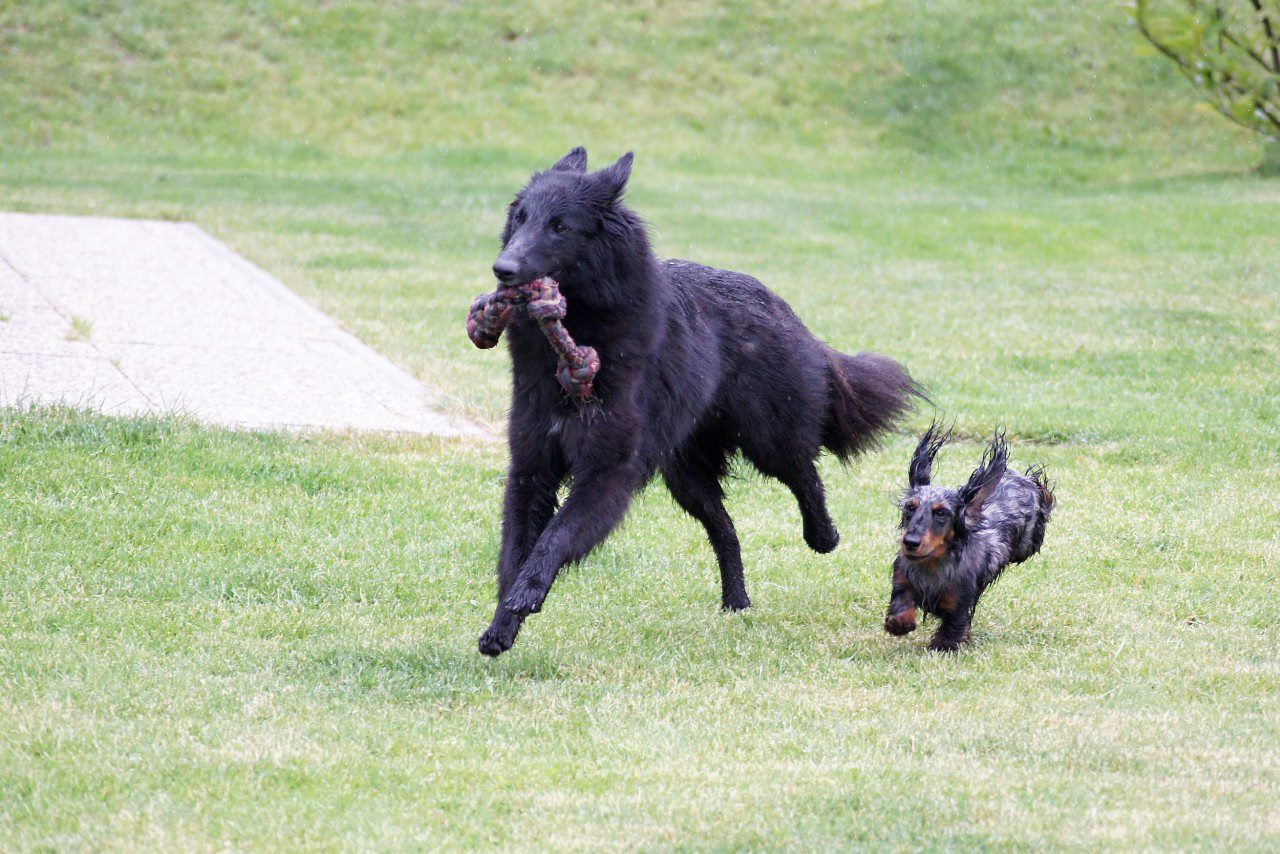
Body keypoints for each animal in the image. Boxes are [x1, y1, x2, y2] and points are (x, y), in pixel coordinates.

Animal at [476, 148, 916, 655]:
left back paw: (823, 535)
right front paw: (501, 626)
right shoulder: (532, 467)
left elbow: (555, 536)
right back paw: (737, 601)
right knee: (727, 530)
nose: (502, 269)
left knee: (805, 474)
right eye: (520, 217)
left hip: (767, 440)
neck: (581, 329)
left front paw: (527, 592)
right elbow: (514, 552)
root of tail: (781, 307)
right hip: (686, 476)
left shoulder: (608, 472)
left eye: (560, 226)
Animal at [885, 425, 1054, 650]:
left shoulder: (959, 602)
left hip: (1027, 544)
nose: (910, 542)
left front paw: (943, 646)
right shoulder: (902, 580)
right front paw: (900, 623)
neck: (934, 565)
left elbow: (953, 629)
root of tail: (1021, 478)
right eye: (909, 508)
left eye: (941, 513)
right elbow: (900, 606)